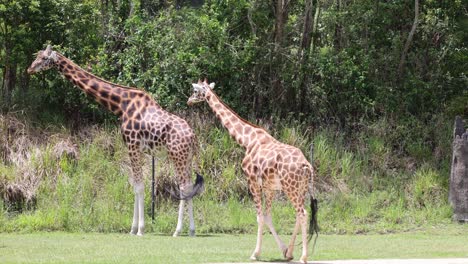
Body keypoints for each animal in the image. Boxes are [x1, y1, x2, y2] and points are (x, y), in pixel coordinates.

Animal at [27, 45, 203, 237]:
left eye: (44, 58)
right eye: (37, 55)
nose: (30, 69)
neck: (120, 105)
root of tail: (193, 137)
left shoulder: (133, 145)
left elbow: (139, 186)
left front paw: (140, 229)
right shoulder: (135, 148)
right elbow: (135, 185)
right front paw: (132, 229)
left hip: (177, 155)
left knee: (184, 187)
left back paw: (177, 231)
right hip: (186, 157)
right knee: (189, 186)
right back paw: (191, 230)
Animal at [188, 79, 320, 262]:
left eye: (194, 91)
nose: (188, 101)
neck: (247, 140)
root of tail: (306, 165)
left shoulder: (252, 182)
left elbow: (259, 217)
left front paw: (255, 254)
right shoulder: (269, 187)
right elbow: (268, 217)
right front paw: (284, 251)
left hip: (290, 187)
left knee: (303, 214)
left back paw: (304, 257)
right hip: (300, 188)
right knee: (299, 214)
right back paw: (292, 252)